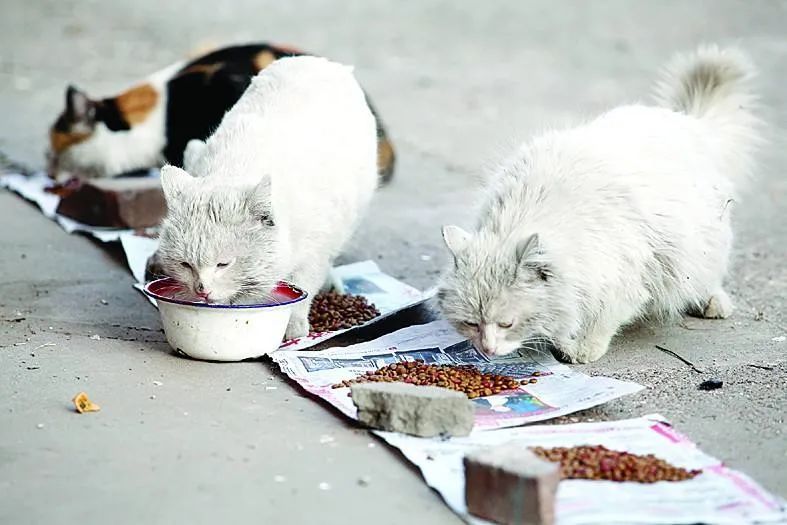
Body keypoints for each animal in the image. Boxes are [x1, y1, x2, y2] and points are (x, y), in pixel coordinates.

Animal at [155, 55, 378, 338]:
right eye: (185, 265)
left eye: (223, 264)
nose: (201, 290)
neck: (236, 168)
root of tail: (319, 61)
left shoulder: (315, 248)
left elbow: (303, 286)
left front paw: (293, 326)